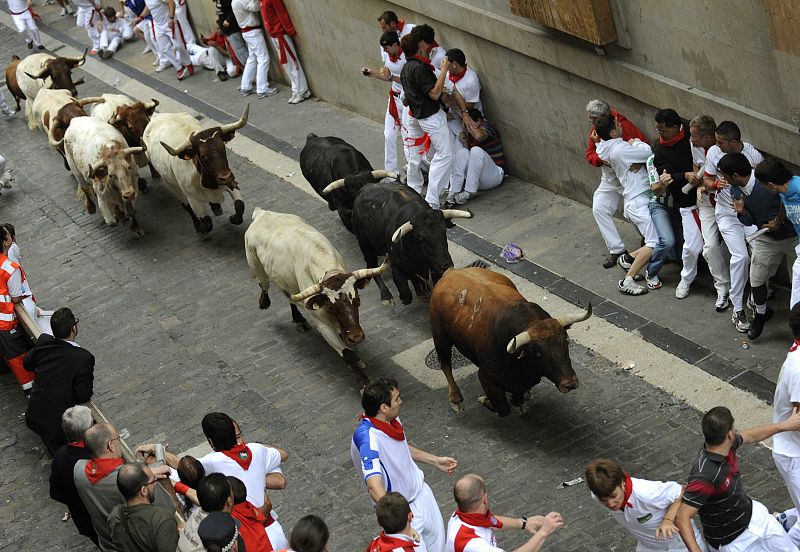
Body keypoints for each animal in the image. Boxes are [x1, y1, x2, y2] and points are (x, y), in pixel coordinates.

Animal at [141, 105, 247, 235]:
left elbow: (239, 206)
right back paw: (198, 225)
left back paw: (216, 207)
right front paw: (202, 228)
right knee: (186, 207)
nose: (226, 177)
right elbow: (206, 222)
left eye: (223, 147)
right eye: (202, 155)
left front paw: (231, 218)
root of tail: (156, 116)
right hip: (174, 187)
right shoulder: (193, 200)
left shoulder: (231, 184)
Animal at [244, 207, 388, 388]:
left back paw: (299, 320)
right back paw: (266, 303)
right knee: (264, 286)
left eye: (358, 301)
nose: (357, 336)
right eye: (332, 307)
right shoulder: (323, 324)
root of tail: (261, 213)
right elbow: (347, 353)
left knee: (289, 297)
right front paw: (364, 384)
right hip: (258, 269)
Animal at [432, 266, 588, 416]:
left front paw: (519, 400)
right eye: (539, 354)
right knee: (445, 365)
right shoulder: (486, 377)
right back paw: (455, 399)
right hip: (440, 336)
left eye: (566, 343)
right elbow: (503, 408)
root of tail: (451, 272)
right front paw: (484, 400)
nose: (570, 384)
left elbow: (517, 397)